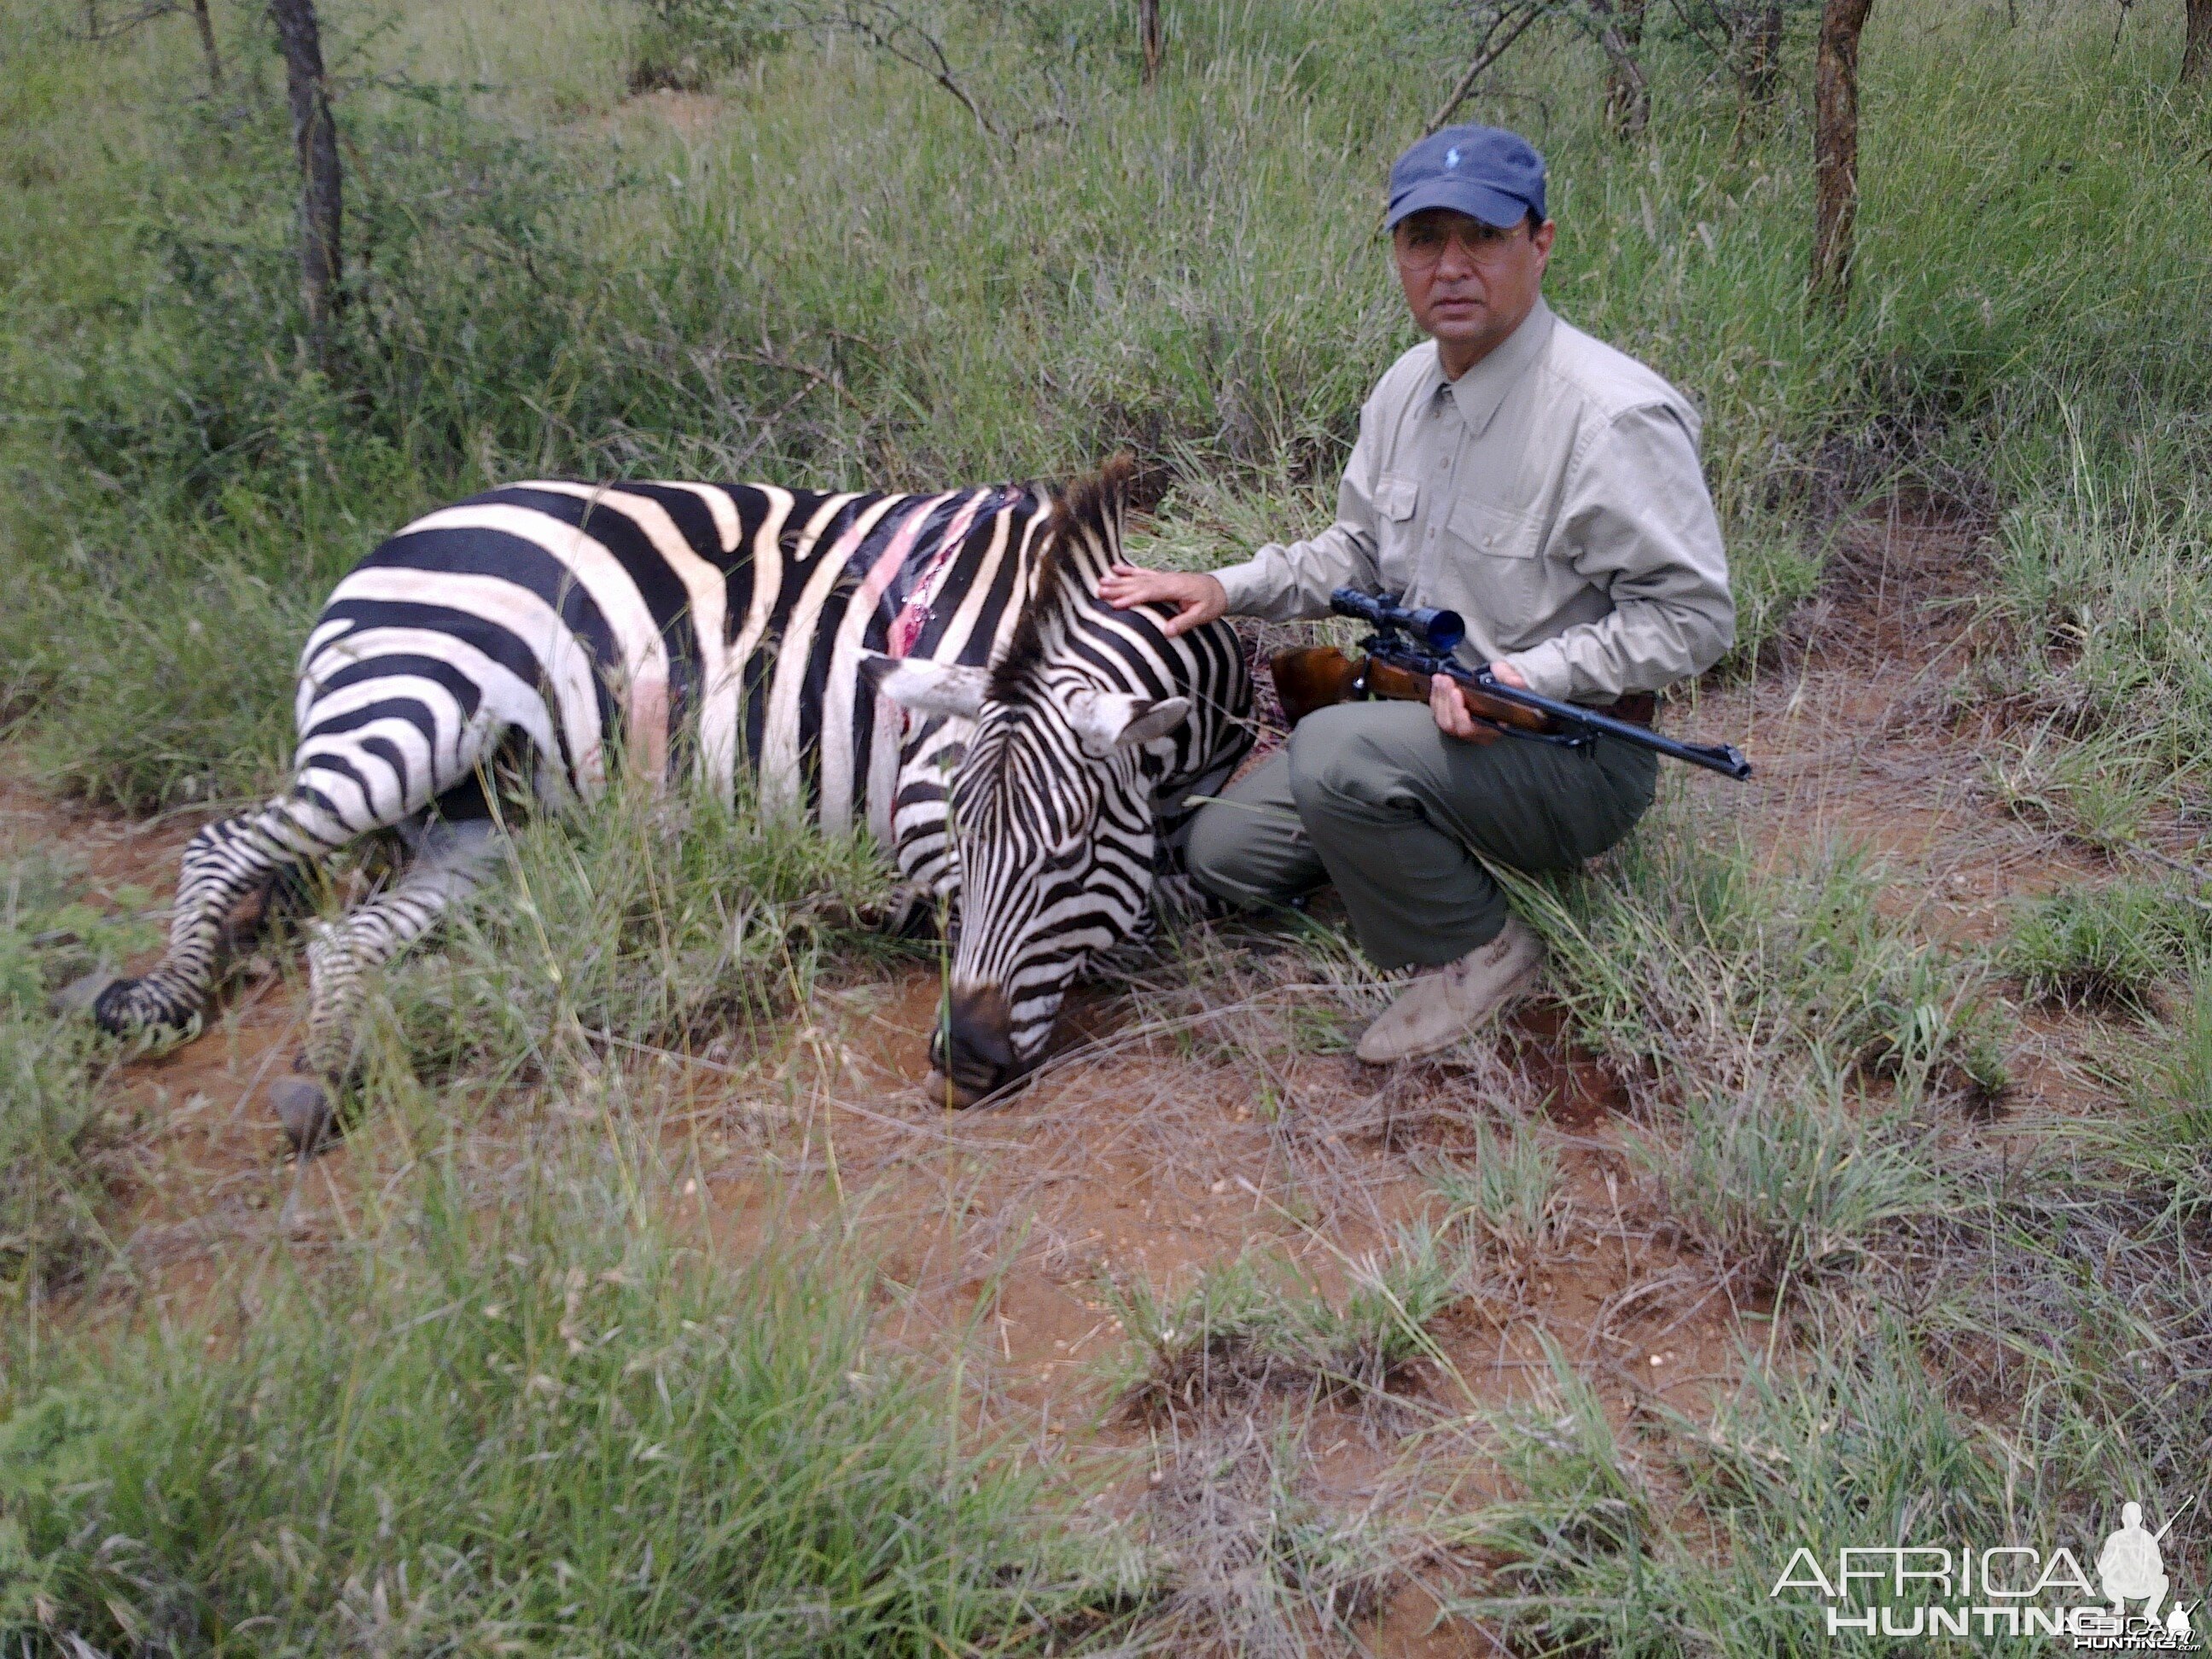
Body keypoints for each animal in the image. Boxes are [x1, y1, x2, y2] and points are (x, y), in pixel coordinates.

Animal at [90, 455, 1247, 1132]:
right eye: (965, 838)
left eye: (1076, 846)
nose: (963, 1062)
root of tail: (402, 533)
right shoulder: (921, 790)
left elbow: (1181, 882)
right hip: (415, 709)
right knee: (225, 842)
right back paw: (165, 998)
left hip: (493, 835)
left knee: (346, 937)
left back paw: (321, 1077)